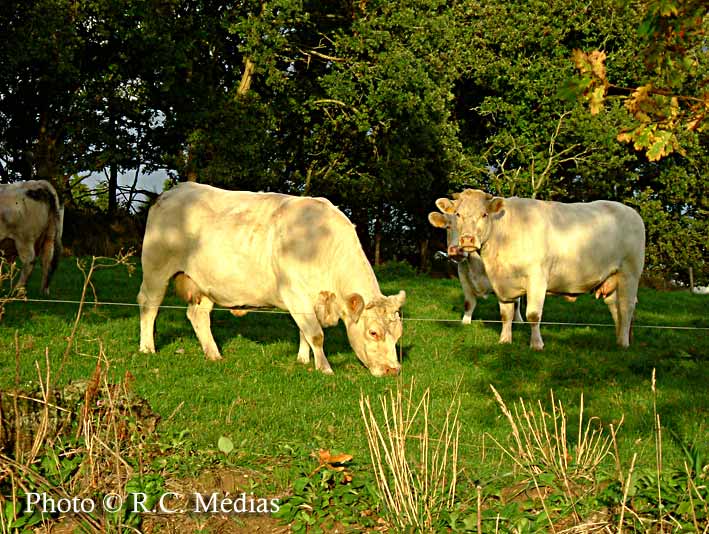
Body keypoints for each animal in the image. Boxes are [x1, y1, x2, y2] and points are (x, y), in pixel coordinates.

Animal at [137, 182, 406, 377]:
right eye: (373, 332)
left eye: (399, 334)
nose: (393, 370)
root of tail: (171, 193)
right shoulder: (294, 293)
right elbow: (316, 334)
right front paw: (325, 369)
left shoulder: (308, 301)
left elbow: (304, 332)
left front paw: (303, 360)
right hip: (156, 269)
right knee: (148, 306)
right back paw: (147, 348)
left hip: (205, 283)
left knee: (198, 315)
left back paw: (213, 354)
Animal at [447, 189, 645, 350]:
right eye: (458, 214)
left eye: (484, 214)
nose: (467, 239)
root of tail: (632, 212)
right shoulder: (502, 283)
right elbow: (505, 314)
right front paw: (504, 340)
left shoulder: (537, 277)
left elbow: (533, 314)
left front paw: (536, 344)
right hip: (611, 278)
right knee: (615, 308)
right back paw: (618, 339)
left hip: (630, 273)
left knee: (626, 307)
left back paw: (624, 343)